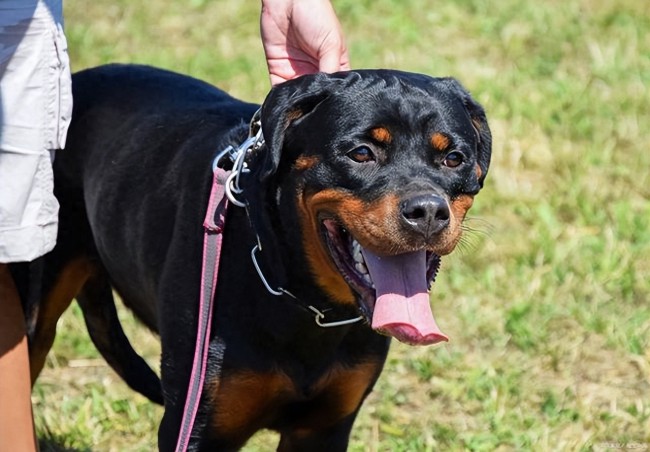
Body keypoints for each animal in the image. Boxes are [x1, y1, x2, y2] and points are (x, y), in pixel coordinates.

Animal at [24, 64, 492, 452]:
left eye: (454, 158)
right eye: (361, 153)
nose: (428, 211)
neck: (304, 302)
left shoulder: (323, 428)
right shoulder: (198, 424)